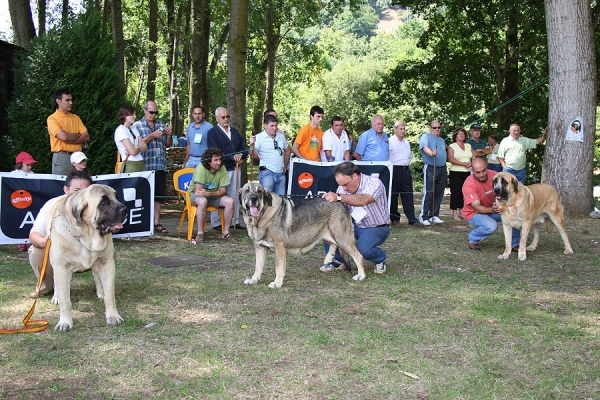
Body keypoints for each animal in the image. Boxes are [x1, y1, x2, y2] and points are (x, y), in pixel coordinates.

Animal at [48, 184, 128, 332]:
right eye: (103, 202)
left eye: (117, 197)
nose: (125, 210)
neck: (87, 236)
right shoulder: (61, 267)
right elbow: (65, 300)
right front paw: (65, 322)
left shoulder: (107, 264)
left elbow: (110, 295)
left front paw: (113, 316)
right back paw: (56, 296)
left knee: (96, 275)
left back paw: (100, 292)